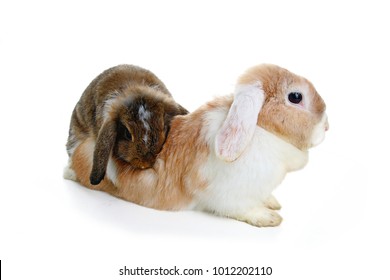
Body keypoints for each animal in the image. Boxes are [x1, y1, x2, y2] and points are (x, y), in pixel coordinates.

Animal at [64, 64, 330, 228]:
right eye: (295, 97)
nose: (327, 127)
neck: (261, 130)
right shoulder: (227, 195)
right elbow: (242, 208)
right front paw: (268, 217)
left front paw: (272, 202)